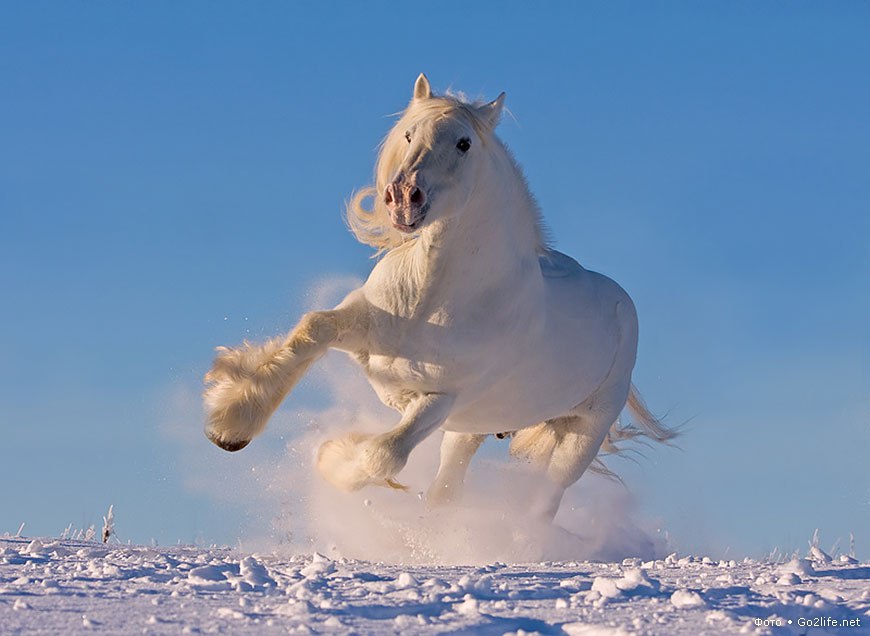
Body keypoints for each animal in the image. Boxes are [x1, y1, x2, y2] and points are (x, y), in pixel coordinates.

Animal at [203, 76, 676, 520]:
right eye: (409, 134)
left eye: (464, 143)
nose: (401, 198)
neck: (430, 301)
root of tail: (621, 303)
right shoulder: (361, 325)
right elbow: (310, 331)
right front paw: (230, 425)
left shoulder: (442, 399)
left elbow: (385, 454)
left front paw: (332, 457)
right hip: (473, 428)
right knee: (448, 488)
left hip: (580, 434)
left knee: (543, 500)